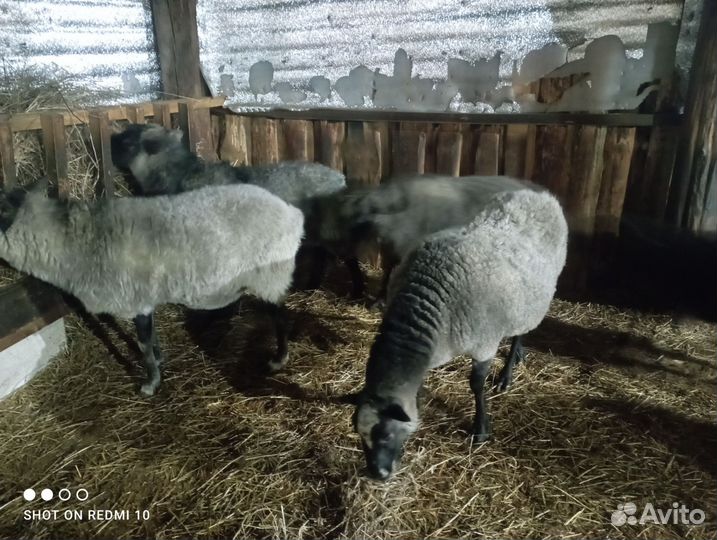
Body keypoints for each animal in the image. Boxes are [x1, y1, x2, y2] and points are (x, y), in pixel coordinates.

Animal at [0, 180, 304, 396]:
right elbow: (151, 338)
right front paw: (160, 361)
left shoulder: (136, 299)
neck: (78, 243)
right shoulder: (145, 298)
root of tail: (292, 213)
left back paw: (279, 359)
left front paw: (150, 383)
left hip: (270, 275)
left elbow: (143, 344)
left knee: (281, 316)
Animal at [110, 123, 364, 296]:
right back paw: (310, 287)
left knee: (349, 257)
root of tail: (340, 178)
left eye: (128, 142)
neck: (180, 174)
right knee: (323, 256)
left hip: (332, 229)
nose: (110, 139)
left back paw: (358, 293)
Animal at [352, 188, 568, 480]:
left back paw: (507, 373)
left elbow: (476, 384)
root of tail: (537, 193)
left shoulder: (484, 343)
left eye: (385, 435)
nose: (378, 474)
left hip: (535, 298)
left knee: (519, 333)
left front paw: (481, 430)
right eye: (360, 436)